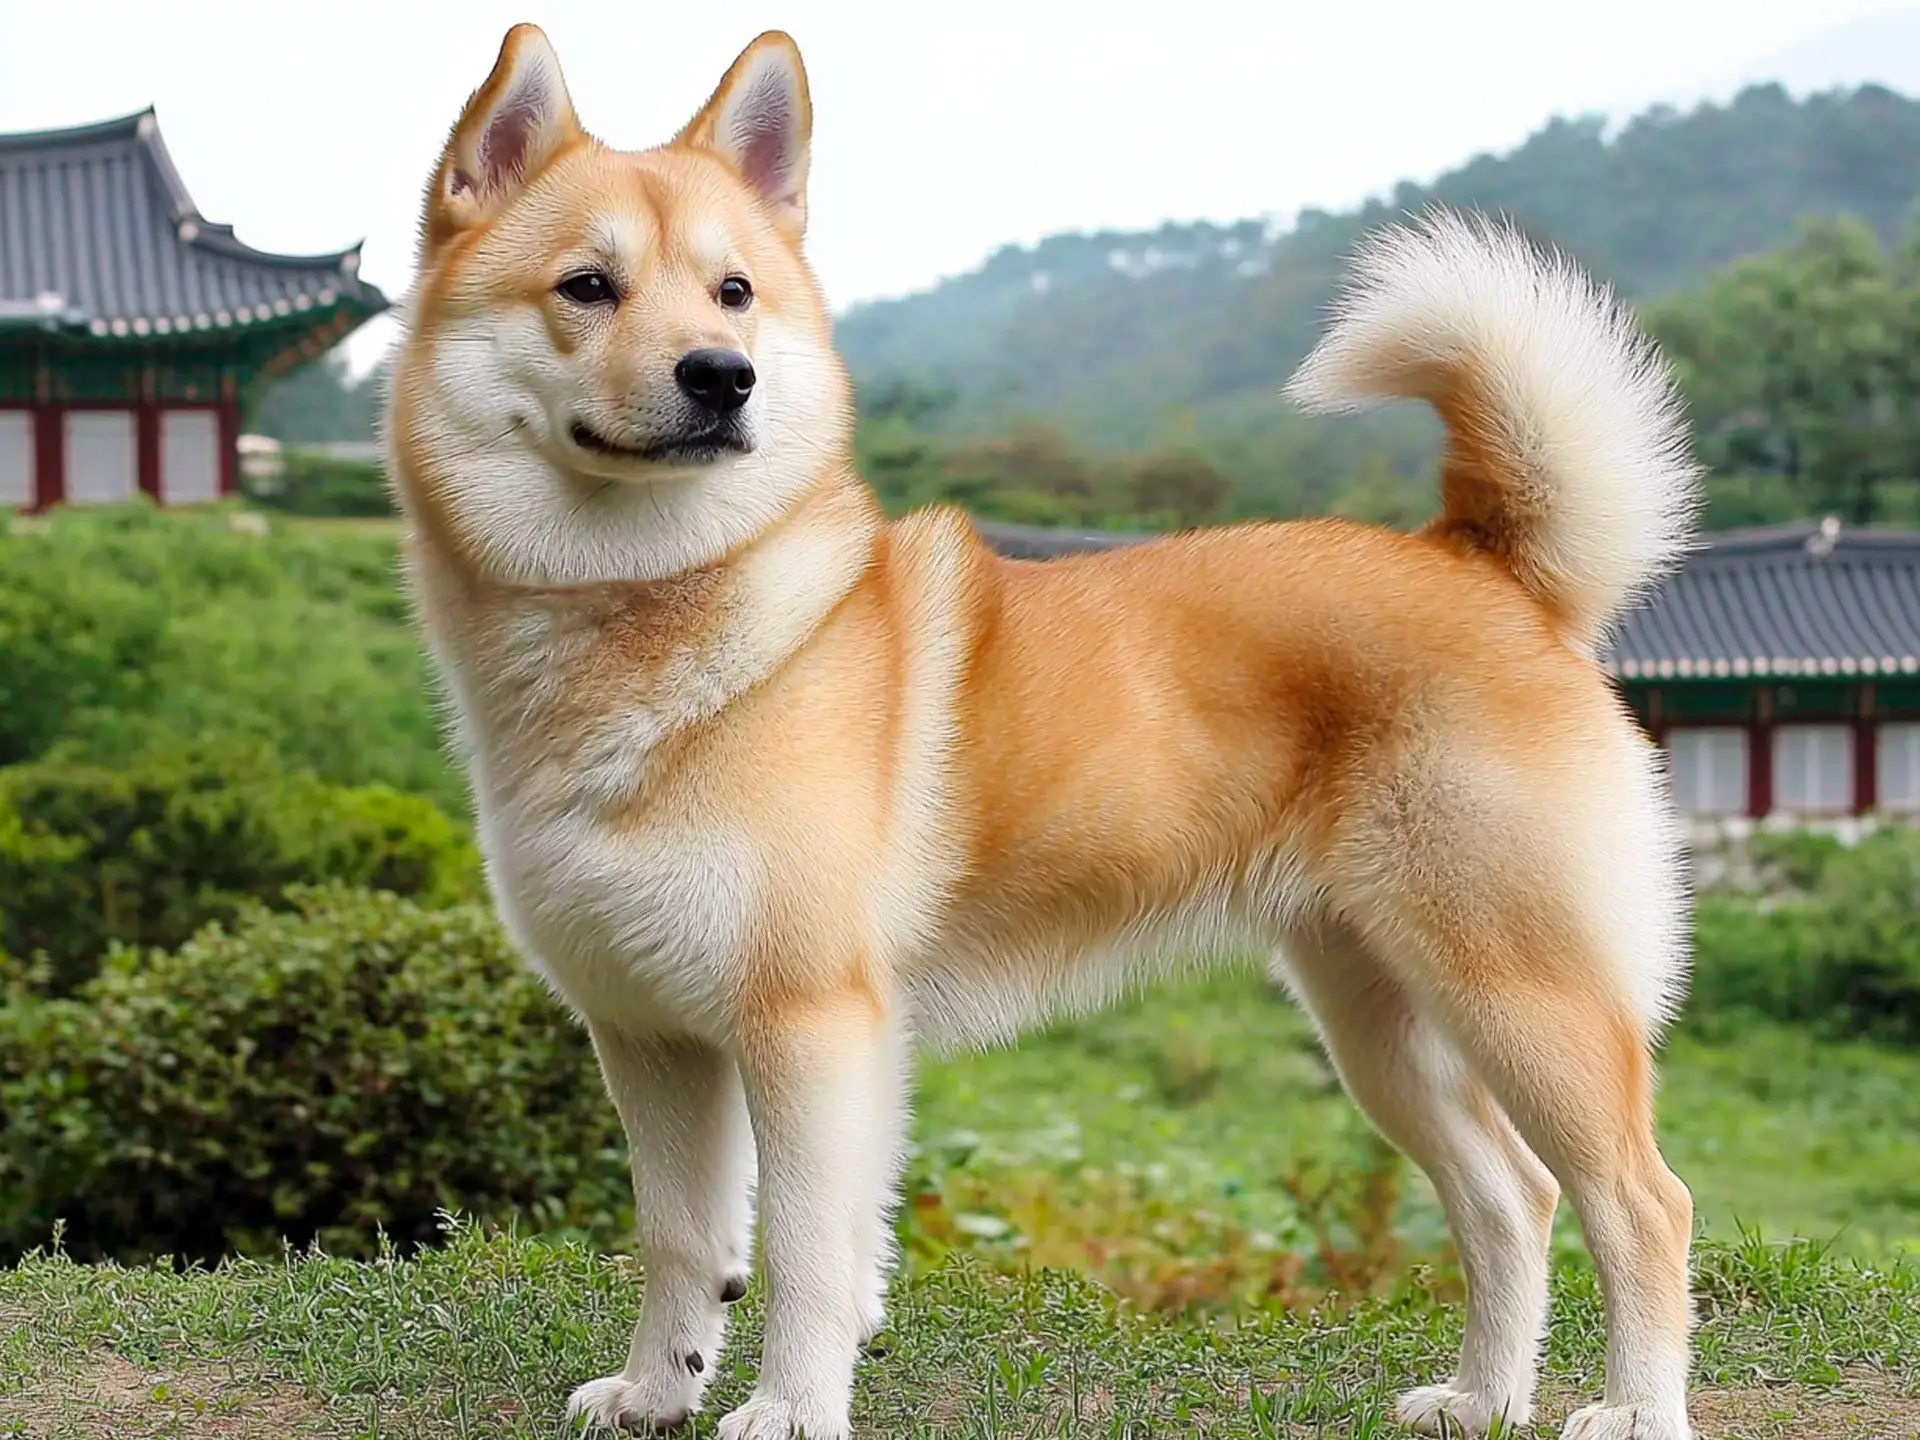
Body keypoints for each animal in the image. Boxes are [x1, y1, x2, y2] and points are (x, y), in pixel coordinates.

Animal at [382, 25, 1704, 1440]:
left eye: (733, 294)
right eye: (588, 286)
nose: (720, 378)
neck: (663, 624)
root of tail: (1487, 566)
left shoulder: (813, 1026)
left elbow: (807, 1253)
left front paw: (790, 1407)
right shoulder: (652, 1035)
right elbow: (685, 1240)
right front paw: (655, 1391)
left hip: (1525, 995)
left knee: (1643, 1203)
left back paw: (1634, 1408)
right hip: (1382, 1024)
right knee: (1514, 1198)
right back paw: (1485, 1398)